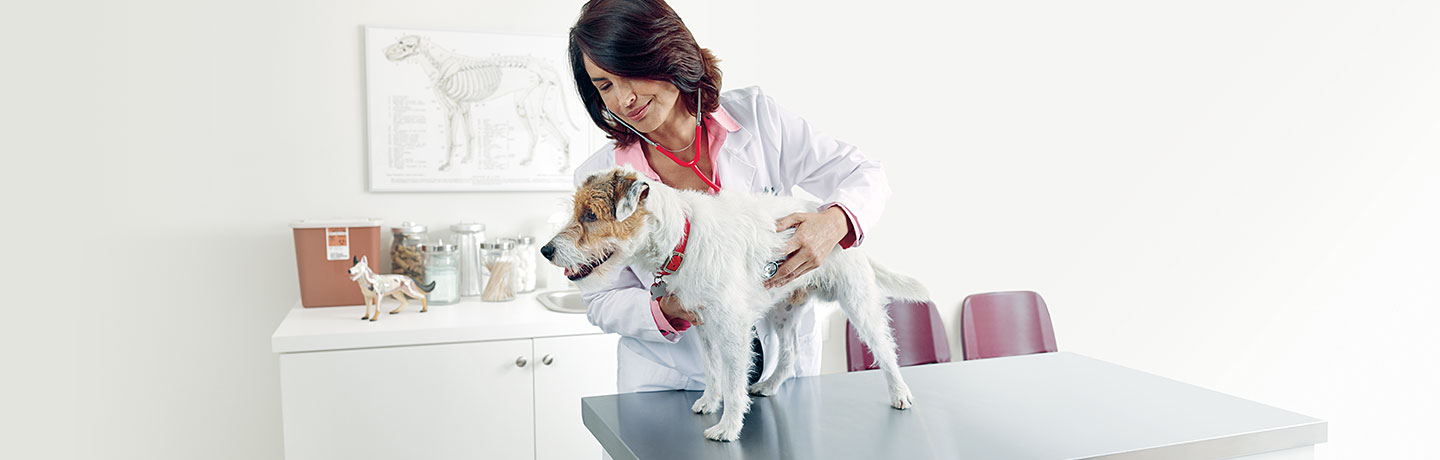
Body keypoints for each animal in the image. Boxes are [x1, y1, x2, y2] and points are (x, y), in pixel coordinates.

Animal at [541, 166, 933, 444]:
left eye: (591, 215)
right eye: (578, 212)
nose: (546, 250)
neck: (683, 236)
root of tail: (828, 214)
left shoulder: (731, 330)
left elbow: (732, 381)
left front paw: (728, 427)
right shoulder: (703, 326)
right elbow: (714, 371)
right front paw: (709, 401)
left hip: (858, 301)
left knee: (886, 349)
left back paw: (900, 392)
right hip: (783, 311)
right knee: (789, 354)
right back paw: (770, 385)